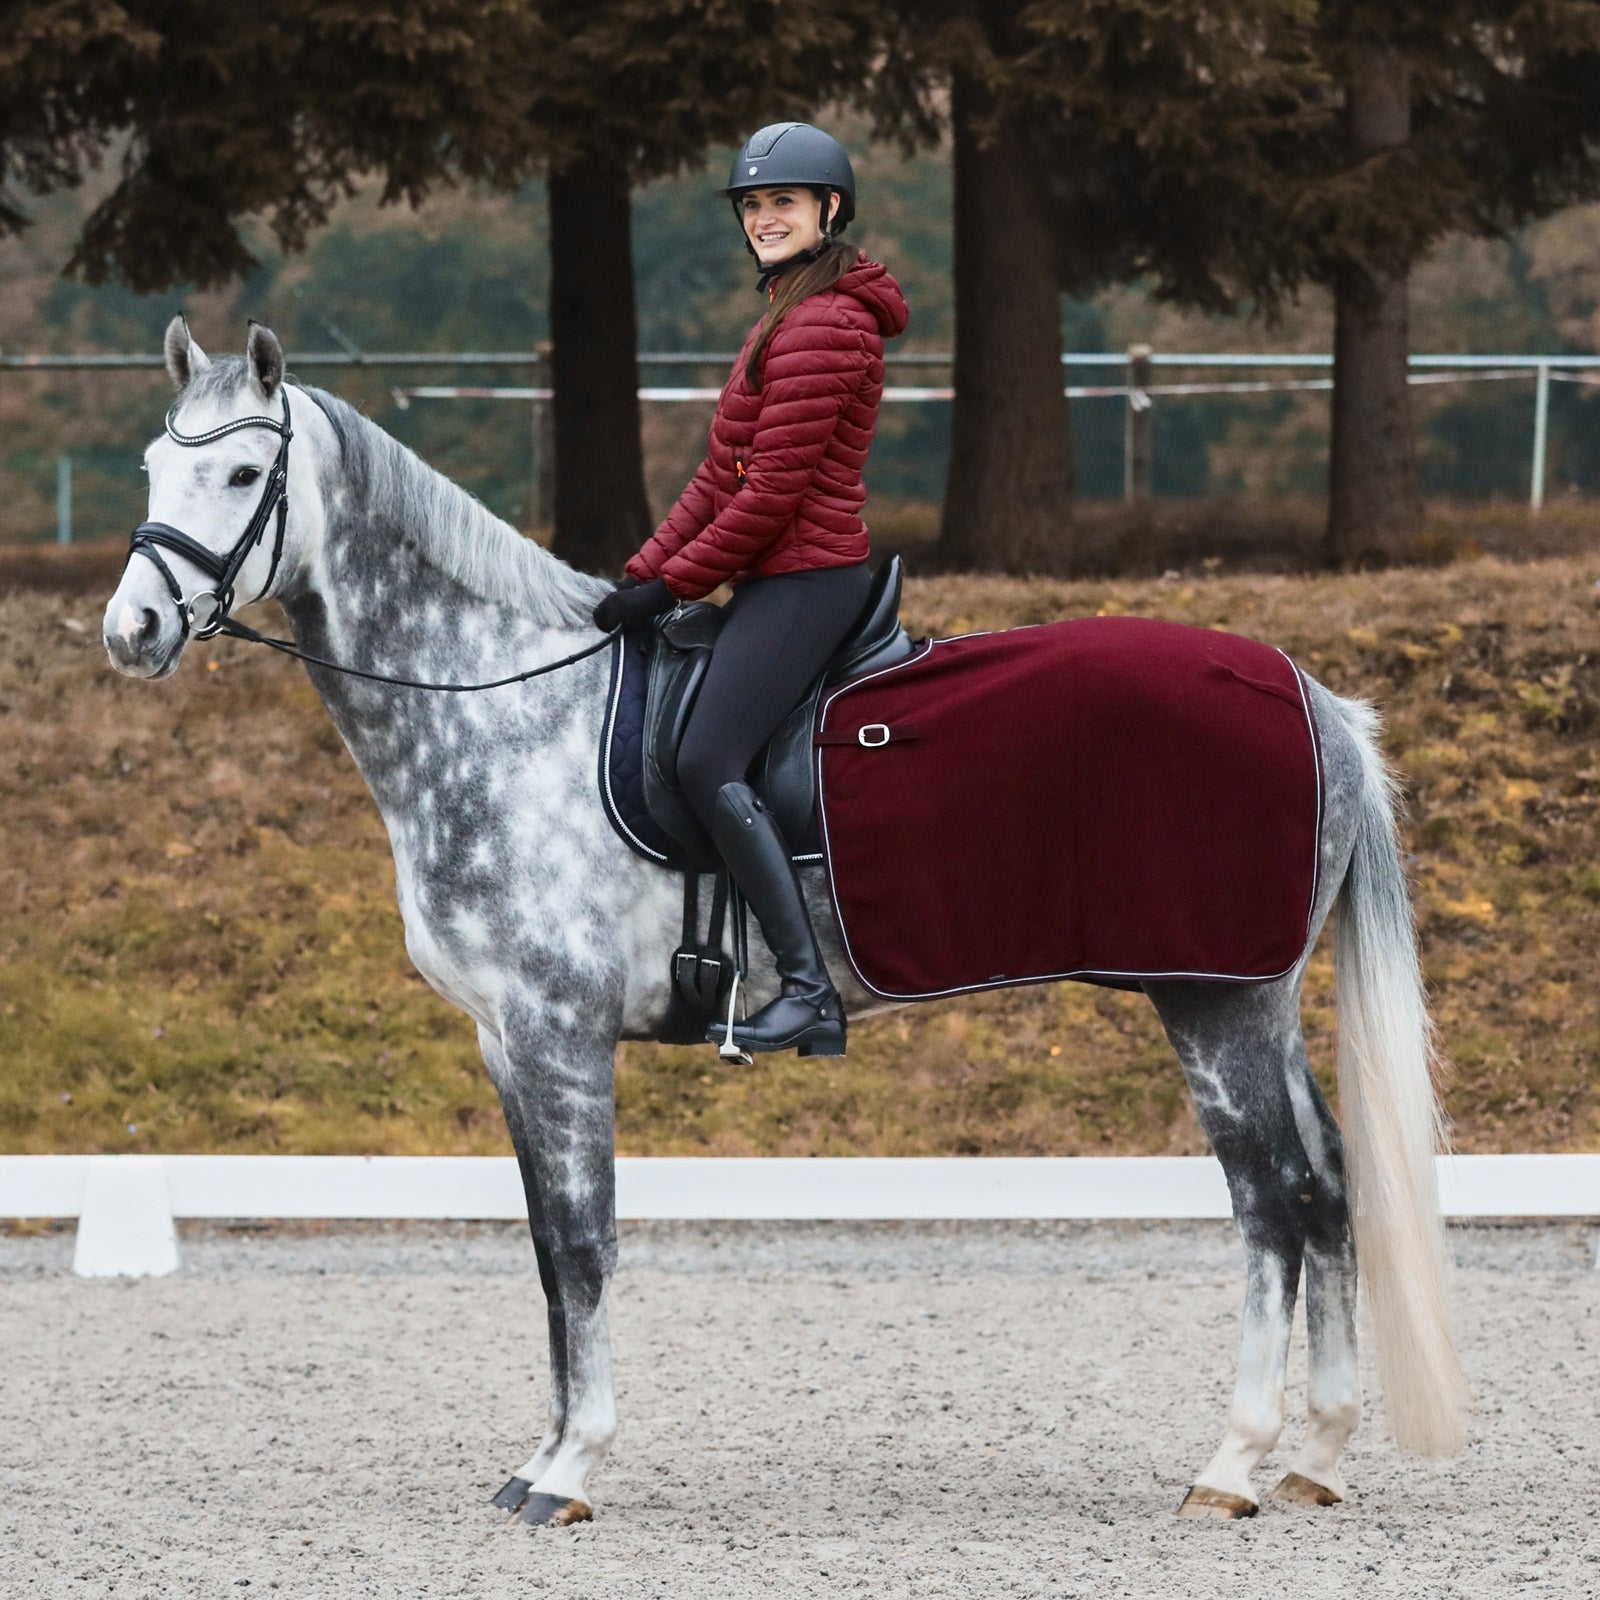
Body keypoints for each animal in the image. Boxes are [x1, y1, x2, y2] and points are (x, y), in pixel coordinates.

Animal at [101, 318, 1468, 1528]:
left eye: (243, 474)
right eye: (156, 469)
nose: (133, 630)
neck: (506, 706)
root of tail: (1312, 698)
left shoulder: (555, 1035)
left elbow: (583, 1245)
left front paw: (569, 1472)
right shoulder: (505, 1041)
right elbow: (546, 1249)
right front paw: (539, 1455)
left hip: (1209, 998)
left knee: (1274, 1201)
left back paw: (1234, 1464)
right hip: (1254, 995)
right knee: (1330, 1185)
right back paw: (1315, 1456)